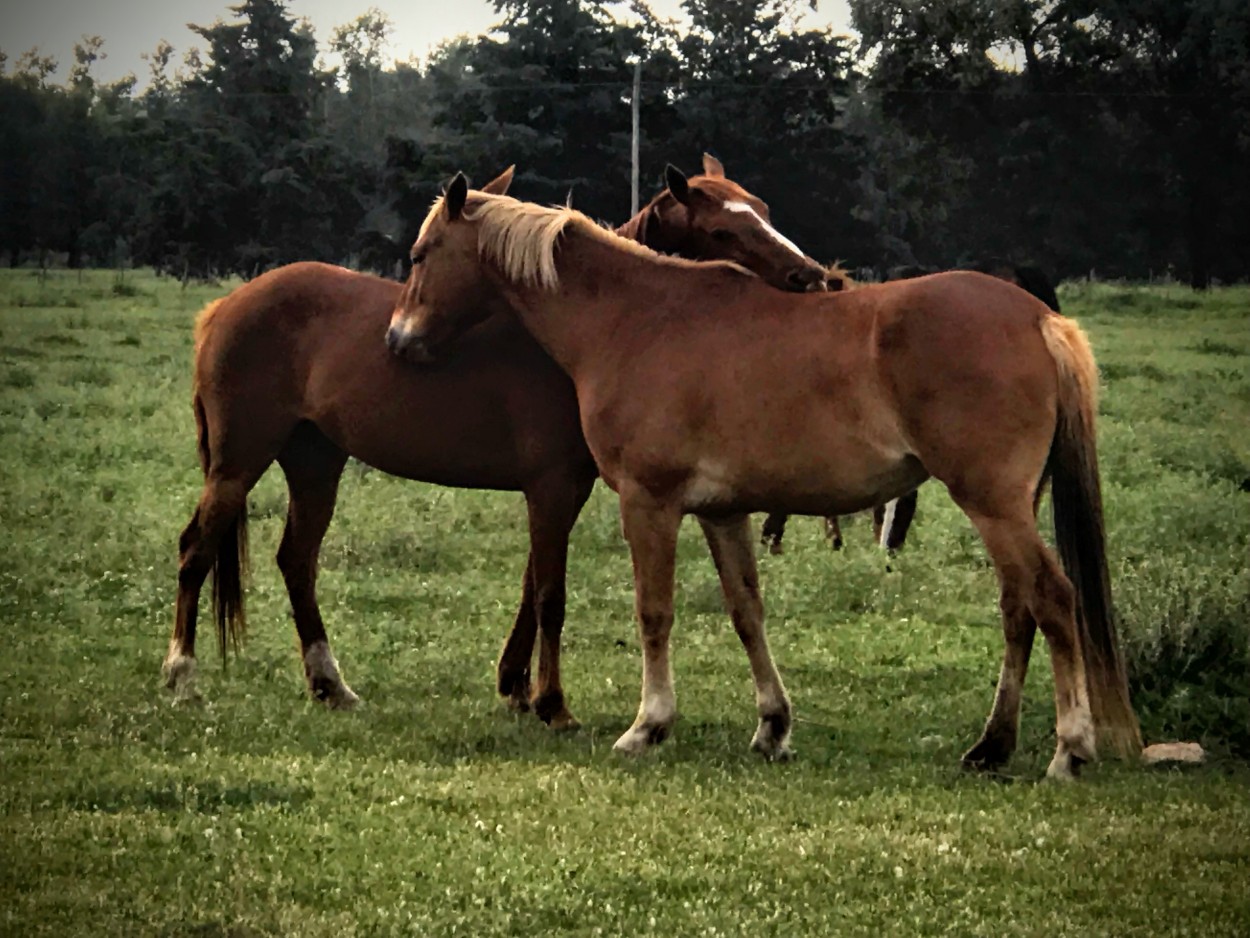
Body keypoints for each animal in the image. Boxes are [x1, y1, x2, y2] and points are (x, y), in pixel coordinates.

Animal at [166, 154, 830, 730]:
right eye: (723, 229)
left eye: (762, 208)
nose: (813, 278)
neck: (580, 334)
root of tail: (225, 306)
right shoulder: (552, 486)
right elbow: (550, 594)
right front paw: (551, 703)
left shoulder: (564, 489)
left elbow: (533, 585)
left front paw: (516, 684)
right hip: (238, 464)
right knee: (197, 549)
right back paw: (182, 675)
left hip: (315, 463)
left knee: (297, 561)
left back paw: (330, 684)